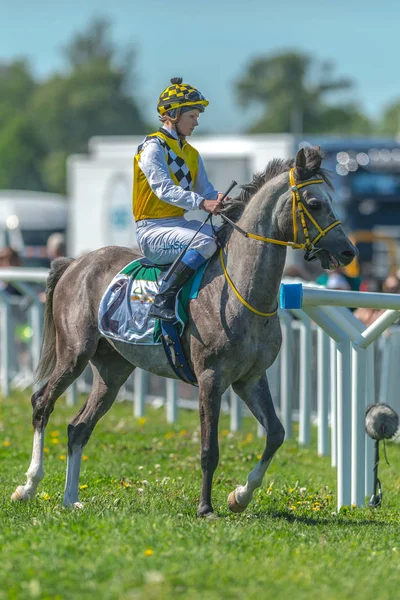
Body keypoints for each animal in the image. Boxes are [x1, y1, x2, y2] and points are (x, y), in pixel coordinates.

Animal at [11, 145, 356, 516]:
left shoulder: (250, 378)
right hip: (74, 353)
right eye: (315, 202)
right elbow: (209, 449)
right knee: (41, 404)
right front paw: (206, 507)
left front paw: (239, 495)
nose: (349, 251)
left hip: (112, 369)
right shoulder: (211, 377)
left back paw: (71, 498)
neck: (240, 291)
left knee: (78, 428)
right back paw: (28, 486)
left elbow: (276, 434)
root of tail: (75, 262)